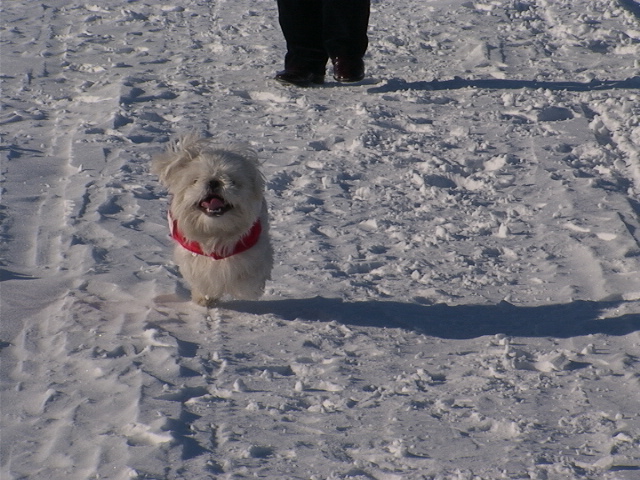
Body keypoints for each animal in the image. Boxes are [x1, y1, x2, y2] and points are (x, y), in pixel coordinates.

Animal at [152, 135, 272, 308]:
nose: (214, 181)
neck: (215, 231)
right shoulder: (193, 256)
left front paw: (247, 289)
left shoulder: (254, 248)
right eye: (195, 180)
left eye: (232, 180)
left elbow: (248, 276)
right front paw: (204, 298)